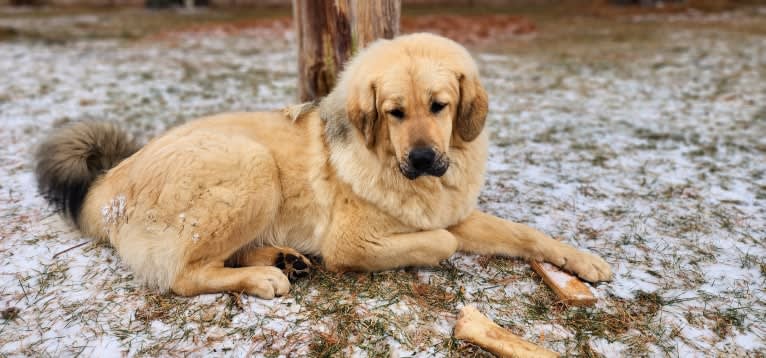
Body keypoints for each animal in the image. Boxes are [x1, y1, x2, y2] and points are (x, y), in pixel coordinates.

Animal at [36, 33, 616, 298]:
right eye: (394, 112)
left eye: (440, 106)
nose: (423, 159)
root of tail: (111, 179)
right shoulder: (355, 241)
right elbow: (442, 243)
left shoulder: (456, 212)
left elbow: (527, 234)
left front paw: (584, 262)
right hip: (251, 166)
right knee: (182, 275)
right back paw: (264, 276)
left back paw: (281, 258)